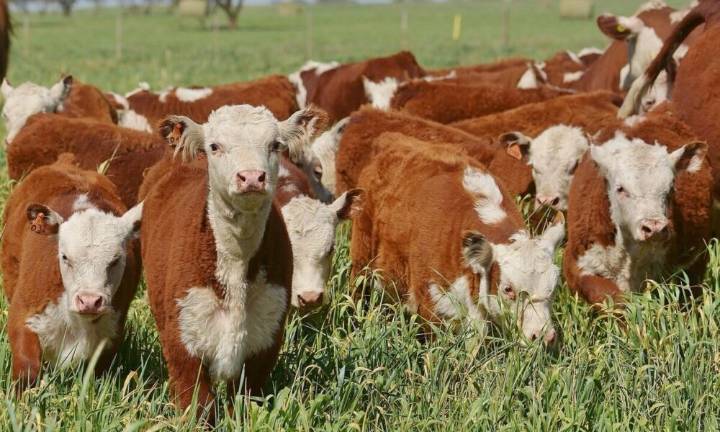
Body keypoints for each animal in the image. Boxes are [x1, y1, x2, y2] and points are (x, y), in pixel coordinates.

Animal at [0, 154, 142, 389]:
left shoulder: (111, 332)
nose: (89, 301)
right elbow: (27, 370)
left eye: (116, 260)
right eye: (65, 257)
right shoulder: (23, 313)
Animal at [140, 104, 325, 420]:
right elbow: (198, 407)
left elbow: (243, 404)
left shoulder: (265, 339)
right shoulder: (183, 339)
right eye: (215, 146)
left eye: (274, 145)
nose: (251, 177)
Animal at [351, 132, 564, 344]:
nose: (543, 336)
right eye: (508, 289)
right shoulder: (432, 308)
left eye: (553, 287)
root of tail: (392, 138)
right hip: (362, 259)